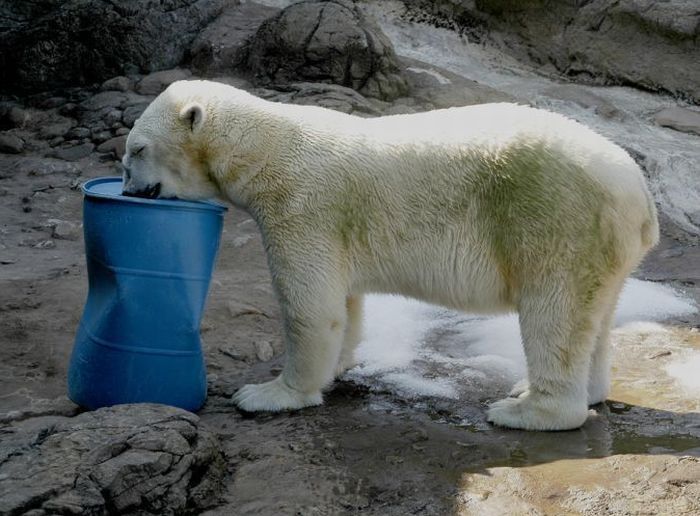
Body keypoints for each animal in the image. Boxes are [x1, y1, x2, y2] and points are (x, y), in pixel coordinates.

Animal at [123, 78, 660, 430]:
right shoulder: (333, 228)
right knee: (594, 318)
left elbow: (309, 305)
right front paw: (336, 368)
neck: (268, 146)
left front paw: (268, 394)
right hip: (601, 247)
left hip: (556, 219)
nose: (128, 190)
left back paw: (525, 410)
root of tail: (638, 193)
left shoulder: (303, 207)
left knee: (554, 313)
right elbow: (344, 304)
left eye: (137, 150)